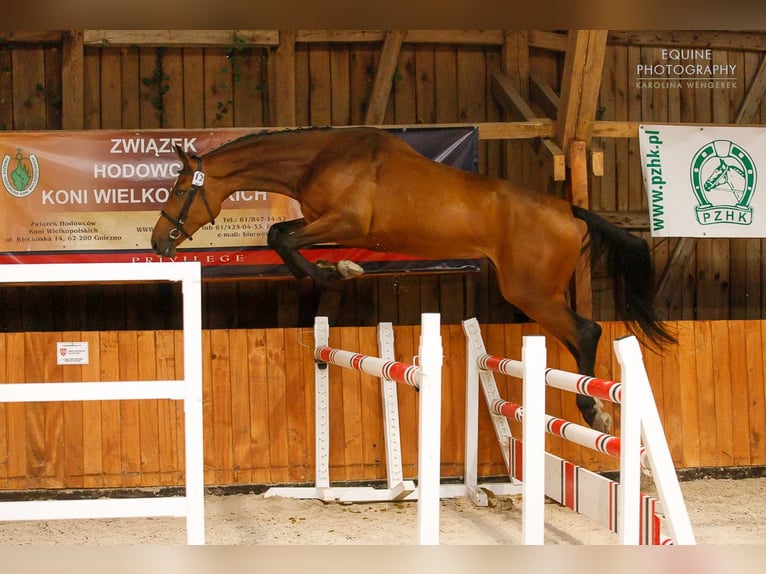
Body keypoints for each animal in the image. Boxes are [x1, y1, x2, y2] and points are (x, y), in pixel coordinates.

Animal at [152, 126, 680, 432]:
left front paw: (335, 272)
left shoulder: (346, 222)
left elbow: (279, 236)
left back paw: (595, 412)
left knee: (586, 332)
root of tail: (569, 210)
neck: (322, 156)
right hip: (533, 292)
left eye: (177, 190)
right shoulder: (329, 223)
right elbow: (284, 238)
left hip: (533, 292)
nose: (159, 243)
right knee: (579, 336)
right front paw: (339, 271)